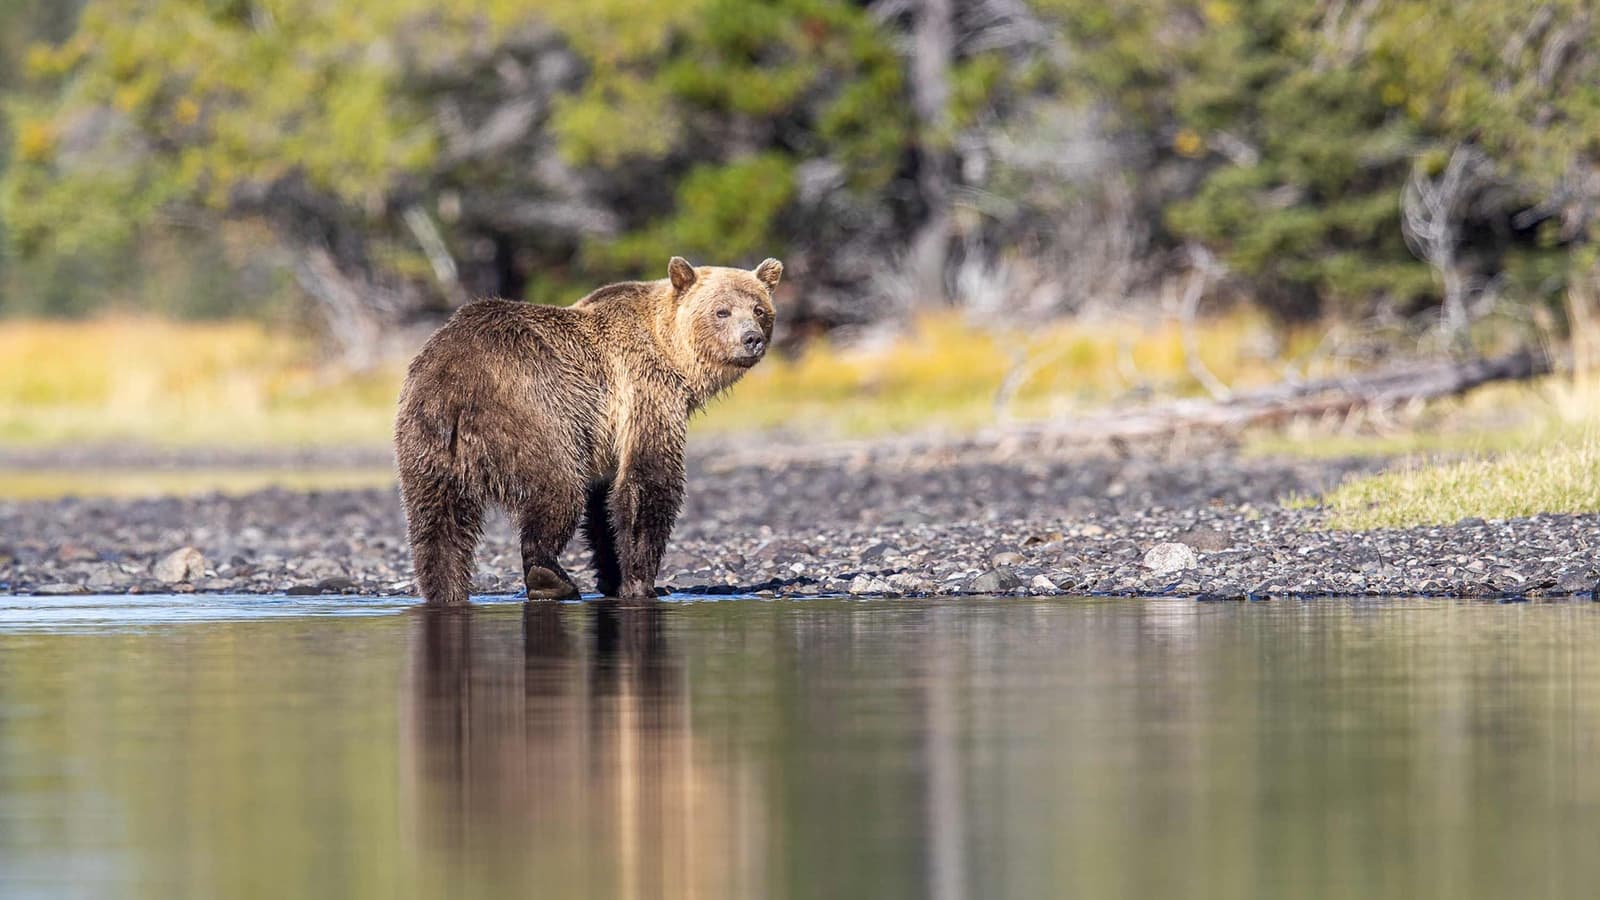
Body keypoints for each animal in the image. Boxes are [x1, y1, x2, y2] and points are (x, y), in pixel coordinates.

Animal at [394, 255, 782, 605]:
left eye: (759, 309)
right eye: (722, 311)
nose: (751, 338)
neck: (672, 354)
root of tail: (453, 382)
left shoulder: (606, 435)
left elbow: (604, 505)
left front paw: (614, 574)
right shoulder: (644, 391)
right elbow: (648, 481)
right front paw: (642, 582)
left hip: (426, 445)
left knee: (439, 526)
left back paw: (445, 589)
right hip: (536, 414)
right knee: (558, 491)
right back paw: (550, 578)